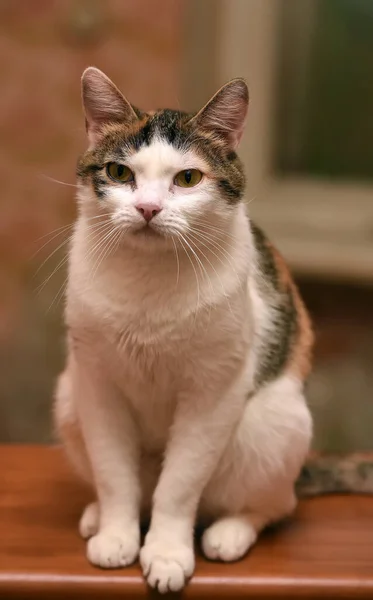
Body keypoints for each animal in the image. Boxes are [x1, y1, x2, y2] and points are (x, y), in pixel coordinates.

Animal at [53, 68, 312, 592]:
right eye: (119, 173)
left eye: (188, 178)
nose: (148, 208)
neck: (149, 285)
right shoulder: (96, 382)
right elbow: (113, 473)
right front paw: (116, 535)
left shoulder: (212, 392)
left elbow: (180, 485)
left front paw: (168, 553)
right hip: (69, 397)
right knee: (133, 488)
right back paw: (98, 515)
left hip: (275, 422)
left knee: (273, 505)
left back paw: (229, 533)